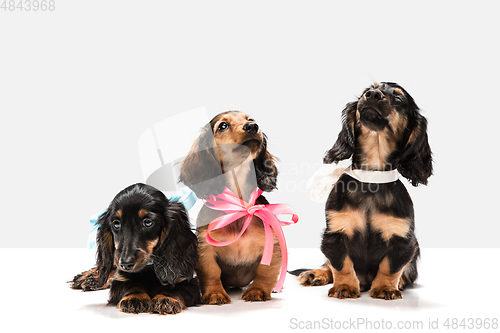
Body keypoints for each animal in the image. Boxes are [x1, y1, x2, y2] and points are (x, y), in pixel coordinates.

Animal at [70, 183, 199, 312]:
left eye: (148, 222)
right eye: (116, 223)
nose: (125, 264)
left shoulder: (190, 281)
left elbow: (175, 287)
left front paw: (166, 298)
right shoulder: (120, 280)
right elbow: (130, 284)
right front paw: (135, 297)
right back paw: (90, 277)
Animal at [180, 111, 282, 304]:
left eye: (250, 119)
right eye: (223, 126)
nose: (253, 126)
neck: (239, 206)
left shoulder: (272, 244)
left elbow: (265, 272)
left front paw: (258, 290)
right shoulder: (205, 248)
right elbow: (212, 272)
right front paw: (215, 293)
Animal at [294, 82, 432, 298]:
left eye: (399, 98)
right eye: (368, 89)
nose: (372, 95)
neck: (370, 179)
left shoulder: (403, 240)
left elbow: (390, 267)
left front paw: (385, 288)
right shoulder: (335, 233)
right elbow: (341, 264)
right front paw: (344, 287)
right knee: (327, 265)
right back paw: (315, 274)